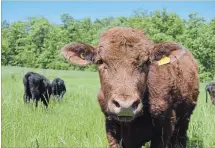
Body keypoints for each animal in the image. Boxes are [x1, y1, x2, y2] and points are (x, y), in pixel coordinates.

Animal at [60, 27, 198, 147]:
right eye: (100, 61)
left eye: (146, 62)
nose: (125, 106)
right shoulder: (111, 126)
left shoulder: (165, 126)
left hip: (185, 118)